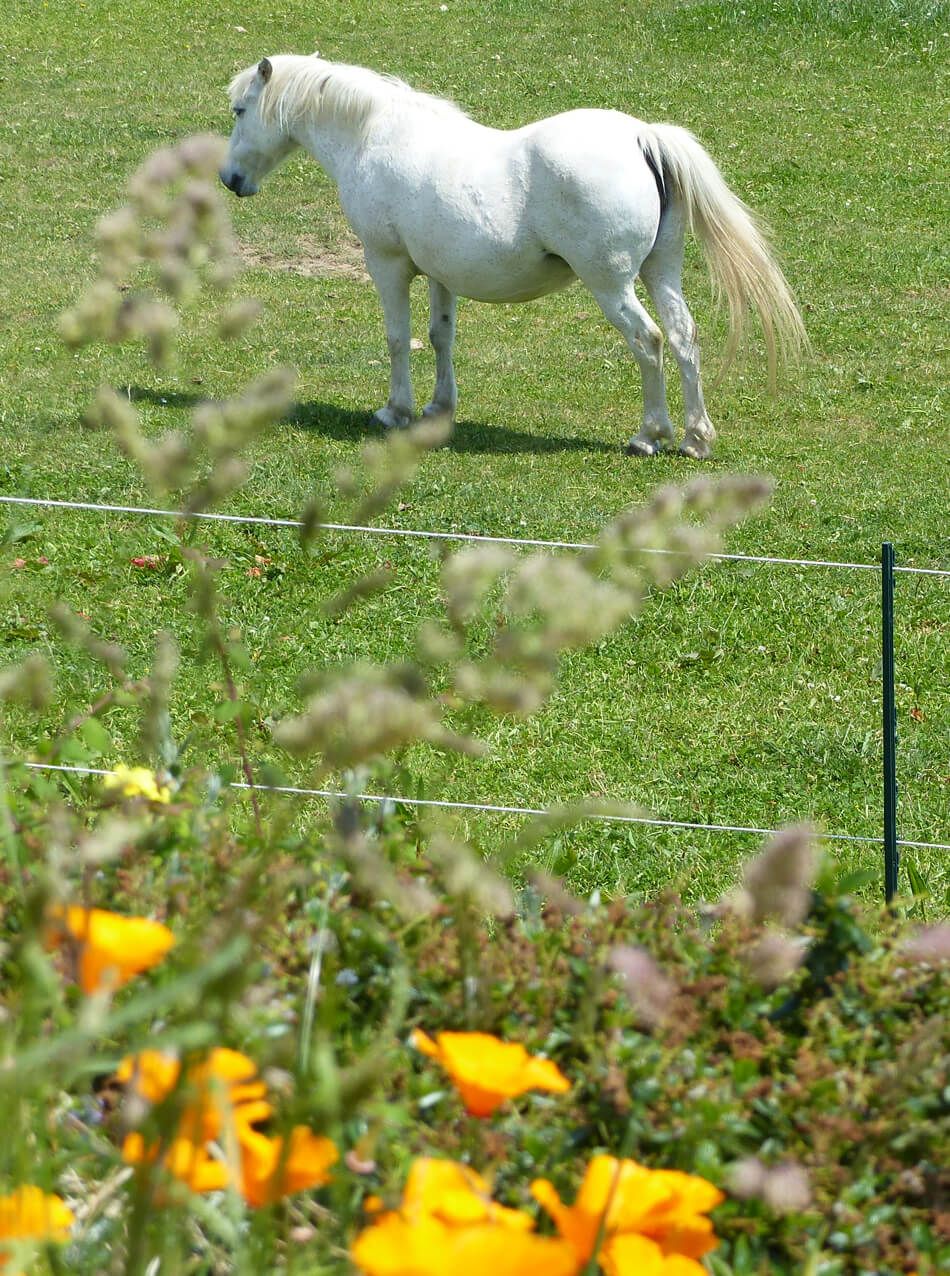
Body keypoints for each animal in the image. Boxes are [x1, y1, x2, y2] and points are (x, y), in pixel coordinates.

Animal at [220, 54, 806, 459]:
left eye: (240, 110)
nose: (229, 179)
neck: (374, 135)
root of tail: (643, 138)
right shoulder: (440, 273)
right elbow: (440, 336)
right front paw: (439, 408)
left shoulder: (386, 264)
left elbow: (397, 338)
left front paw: (396, 411)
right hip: (660, 273)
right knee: (684, 338)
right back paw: (695, 438)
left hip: (612, 285)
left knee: (649, 341)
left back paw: (649, 435)